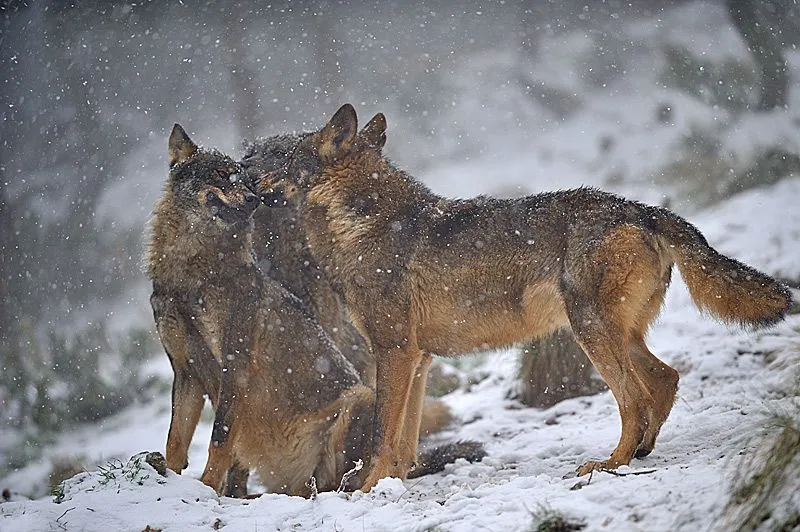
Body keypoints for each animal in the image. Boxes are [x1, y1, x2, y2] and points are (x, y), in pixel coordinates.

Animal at [147, 124, 483, 496]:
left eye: (242, 178)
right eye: (223, 174)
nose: (253, 197)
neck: (190, 277)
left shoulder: (235, 366)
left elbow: (219, 439)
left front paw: (206, 488)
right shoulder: (185, 371)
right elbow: (176, 442)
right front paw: (171, 486)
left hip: (359, 398)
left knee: (347, 472)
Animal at [256, 104, 792, 491]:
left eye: (284, 158)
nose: (250, 177)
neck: (361, 224)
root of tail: (642, 209)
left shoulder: (393, 353)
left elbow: (380, 438)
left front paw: (368, 490)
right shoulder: (418, 358)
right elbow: (405, 441)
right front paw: (395, 484)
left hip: (590, 333)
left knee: (635, 398)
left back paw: (609, 463)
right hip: (615, 334)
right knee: (666, 378)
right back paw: (639, 452)